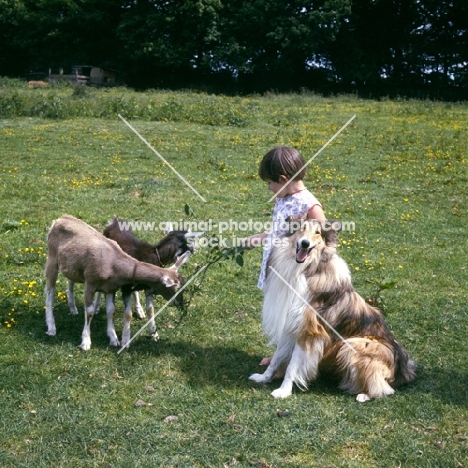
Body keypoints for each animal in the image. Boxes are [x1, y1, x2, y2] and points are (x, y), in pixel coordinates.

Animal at [250, 219, 414, 402]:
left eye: (318, 233)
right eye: (302, 228)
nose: (305, 243)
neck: (306, 269)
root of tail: (403, 369)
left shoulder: (309, 332)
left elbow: (292, 366)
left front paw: (283, 391)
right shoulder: (291, 325)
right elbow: (276, 358)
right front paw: (263, 377)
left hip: (357, 343)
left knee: (385, 388)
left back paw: (364, 395)